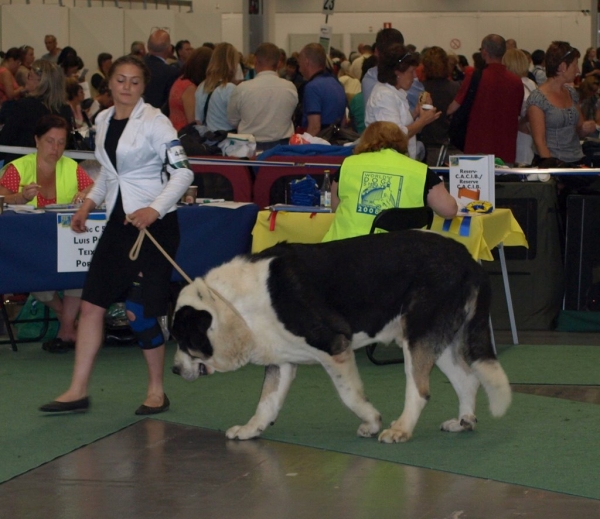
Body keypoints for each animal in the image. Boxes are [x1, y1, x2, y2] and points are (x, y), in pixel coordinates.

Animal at [172, 232, 510, 442]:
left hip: (417, 337)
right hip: (438, 340)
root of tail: (468, 260)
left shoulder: (334, 346)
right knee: (468, 379)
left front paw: (371, 422)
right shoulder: (282, 360)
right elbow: (266, 402)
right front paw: (250, 429)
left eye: (185, 341)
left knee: (420, 389)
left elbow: (350, 395)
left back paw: (400, 429)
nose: (174, 370)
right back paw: (463, 422)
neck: (236, 305)